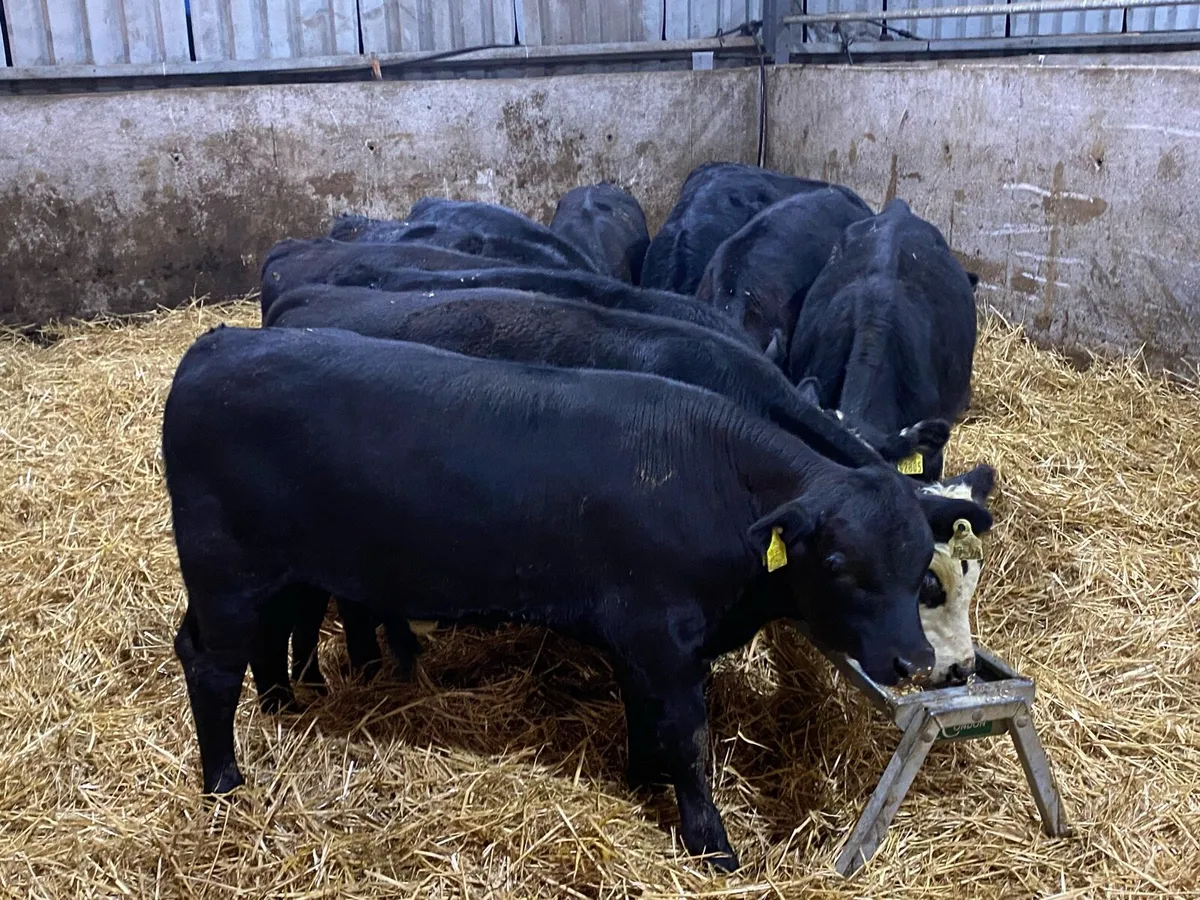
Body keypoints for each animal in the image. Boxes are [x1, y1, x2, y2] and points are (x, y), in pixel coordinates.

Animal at [164, 324, 990, 871]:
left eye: (918, 563)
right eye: (842, 563)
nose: (913, 660)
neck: (712, 483)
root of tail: (219, 345)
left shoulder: (645, 641)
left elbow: (647, 719)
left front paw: (641, 778)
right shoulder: (662, 636)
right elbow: (688, 737)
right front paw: (711, 843)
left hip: (277, 576)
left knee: (250, 641)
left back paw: (282, 707)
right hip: (225, 571)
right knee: (210, 667)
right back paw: (224, 782)